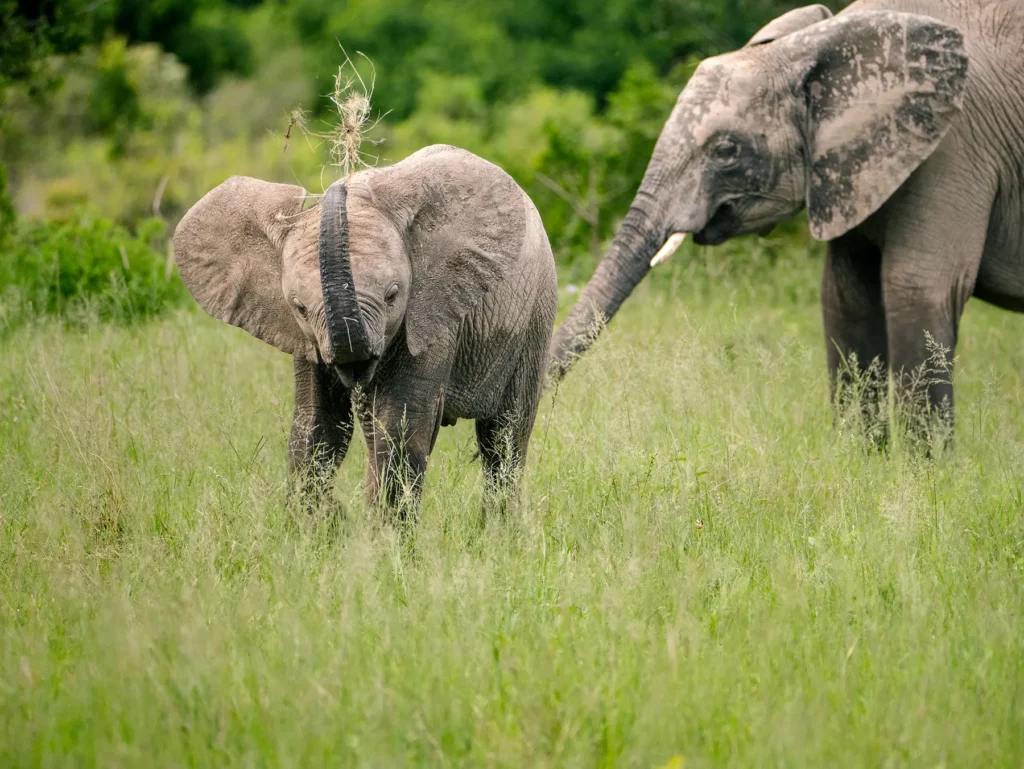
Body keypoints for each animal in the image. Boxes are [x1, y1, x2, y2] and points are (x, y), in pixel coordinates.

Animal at [174, 145, 558, 511]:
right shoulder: (308, 338)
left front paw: (382, 535)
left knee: (505, 437)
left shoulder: (433, 310)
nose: (337, 188)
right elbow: (317, 425)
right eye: (299, 307)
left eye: (393, 295)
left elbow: (401, 423)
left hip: (537, 313)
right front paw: (321, 526)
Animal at [550, 0, 1024, 438]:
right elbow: (846, 297)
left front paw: (922, 470)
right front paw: (860, 459)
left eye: (727, 151)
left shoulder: (955, 146)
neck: (817, 45)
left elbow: (916, 289)